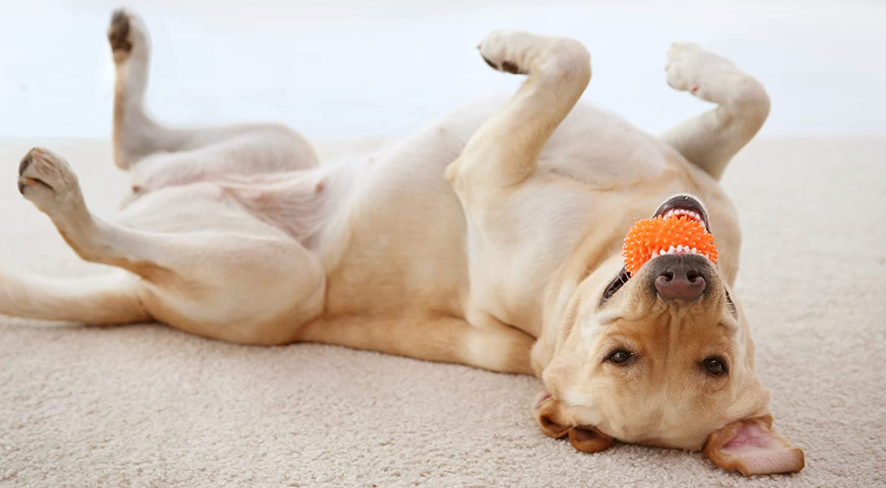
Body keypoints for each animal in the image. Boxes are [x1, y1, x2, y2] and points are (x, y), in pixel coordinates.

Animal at [1, 8, 804, 476]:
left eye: (711, 364)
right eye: (623, 356)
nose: (682, 279)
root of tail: (137, 296)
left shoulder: (486, 168)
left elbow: (573, 59)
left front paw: (510, 46)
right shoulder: (696, 164)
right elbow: (751, 97)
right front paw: (690, 64)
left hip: (275, 272)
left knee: (102, 233)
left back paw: (59, 192)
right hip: (273, 146)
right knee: (132, 145)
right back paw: (126, 47)